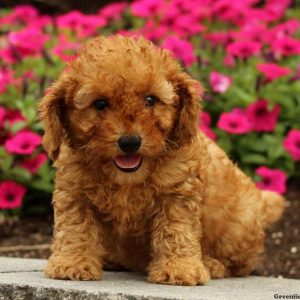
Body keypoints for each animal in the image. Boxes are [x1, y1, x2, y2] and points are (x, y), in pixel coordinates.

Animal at [38, 34, 284, 284]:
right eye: (100, 104)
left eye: (150, 100)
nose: (130, 142)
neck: (127, 179)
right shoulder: (74, 191)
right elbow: (75, 227)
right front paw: (72, 262)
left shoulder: (177, 193)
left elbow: (176, 230)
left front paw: (179, 268)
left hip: (238, 226)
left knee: (240, 264)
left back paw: (212, 264)